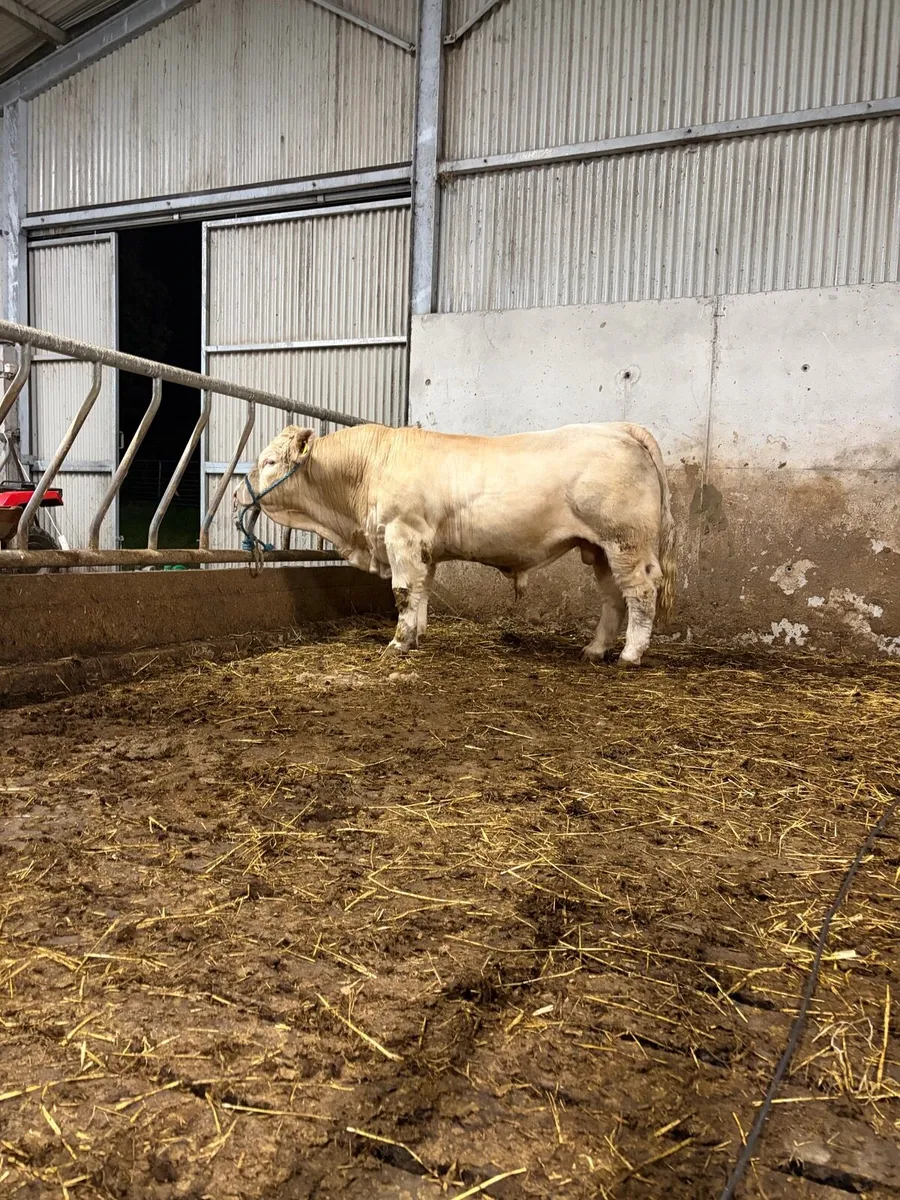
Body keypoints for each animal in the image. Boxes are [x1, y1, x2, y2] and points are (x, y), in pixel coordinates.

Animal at [233, 422, 675, 666]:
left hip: (625, 542)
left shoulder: (402, 533)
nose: (237, 494)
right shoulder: (423, 547)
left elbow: (403, 591)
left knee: (640, 593)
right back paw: (595, 649)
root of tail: (618, 427)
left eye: (269, 461)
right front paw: (416, 636)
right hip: (599, 548)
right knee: (613, 598)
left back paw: (630, 655)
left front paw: (397, 642)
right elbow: (421, 591)